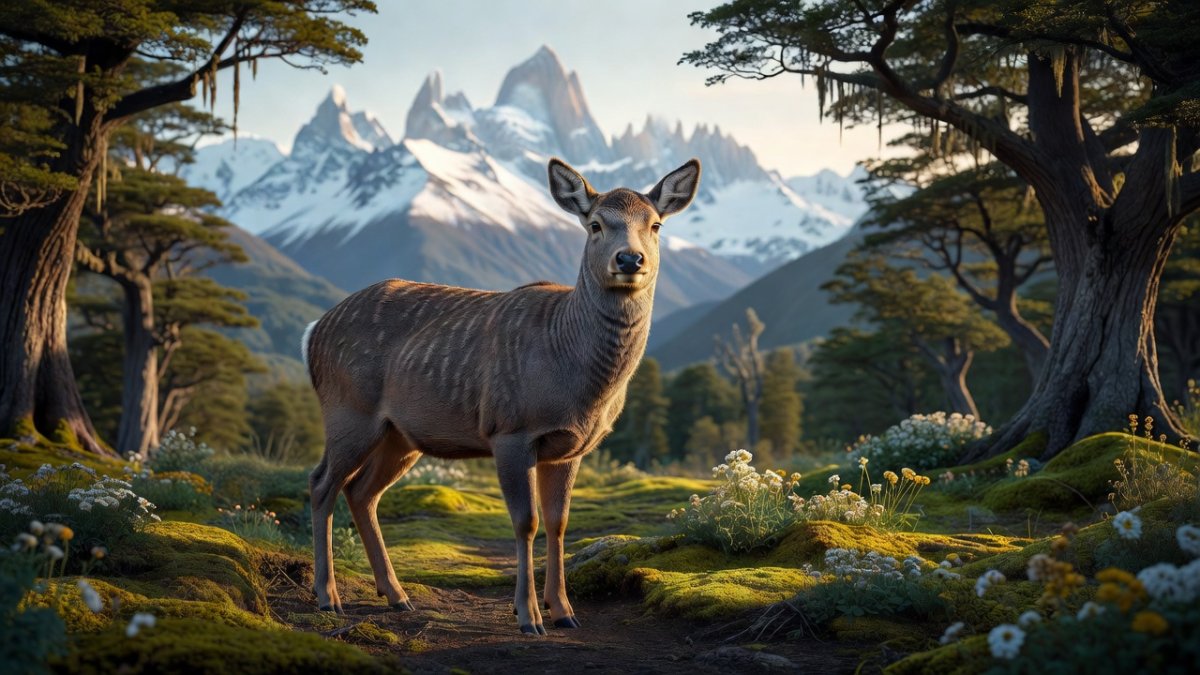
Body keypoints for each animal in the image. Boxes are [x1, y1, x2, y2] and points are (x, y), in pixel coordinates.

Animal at [301, 157, 701, 634]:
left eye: (656, 224)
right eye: (596, 224)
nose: (629, 258)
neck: (579, 384)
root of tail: (312, 333)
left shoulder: (571, 448)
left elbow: (559, 522)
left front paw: (563, 611)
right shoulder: (510, 429)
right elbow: (526, 521)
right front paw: (528, 616)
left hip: (400, 435)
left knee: (361, 491)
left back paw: (396, 596)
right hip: (349, 411)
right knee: (321, 482)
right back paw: (328, 596)